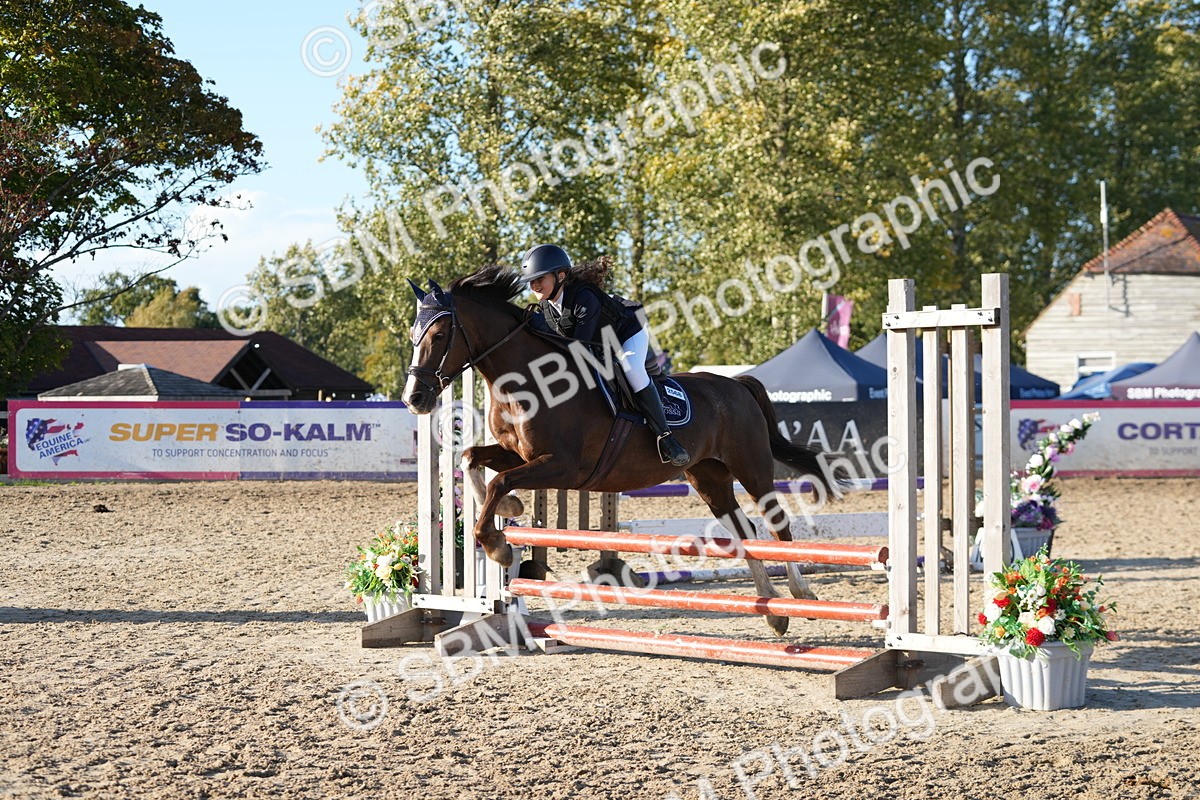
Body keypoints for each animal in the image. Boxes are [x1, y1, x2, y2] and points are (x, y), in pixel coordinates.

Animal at [402, 265, 840, 635]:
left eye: (439, 336)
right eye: (413, 335)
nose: (414, 398)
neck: (525, 380)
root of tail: (737, 384)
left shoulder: (562, 467)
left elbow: (500, 482)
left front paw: (497, 547)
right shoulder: (521, 455)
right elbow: (472, 460)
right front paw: (510, 511)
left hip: (751, 466)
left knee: (777, 523)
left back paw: (801, 596)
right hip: (708, 476)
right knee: (744, 530)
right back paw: (774, 614)